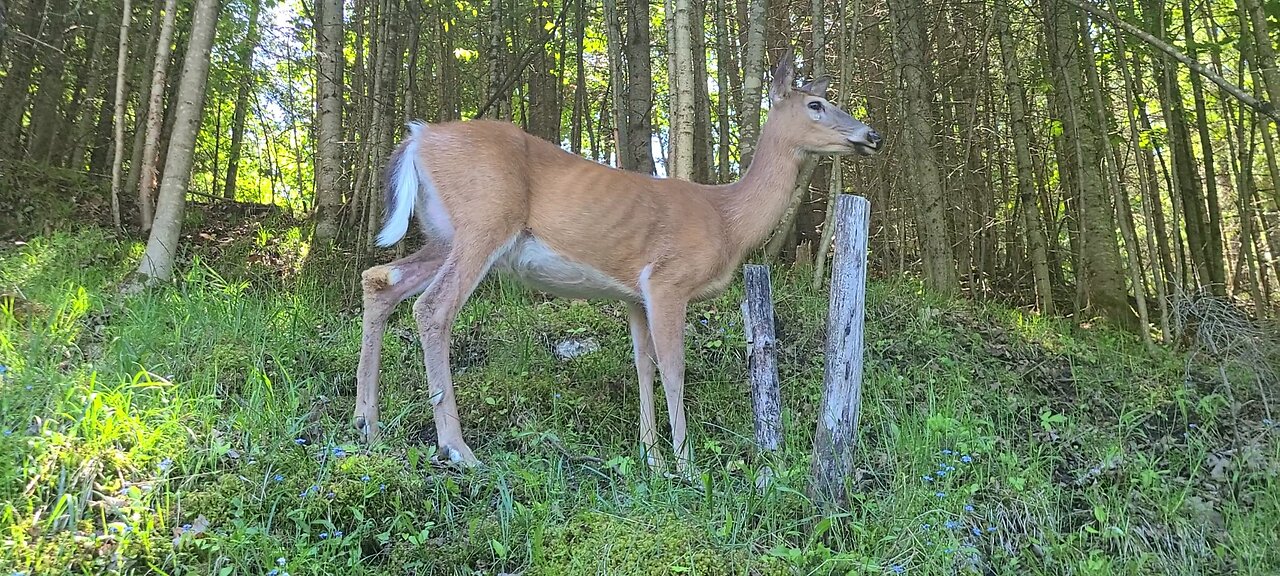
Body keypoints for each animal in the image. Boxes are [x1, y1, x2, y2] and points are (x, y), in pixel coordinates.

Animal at [355, 50, 885, 473]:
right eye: (816, 105)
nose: (872, 134)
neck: (727, 219)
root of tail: (418, 137)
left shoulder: (633, 293)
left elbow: (643, 365)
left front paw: (651, 456)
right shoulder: (668, 280)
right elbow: (673, 366)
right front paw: (686, 463)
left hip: (444, 236)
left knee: (380, 279)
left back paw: (368, 426)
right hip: (484, 220)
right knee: (433, 307)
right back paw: (456, 448)